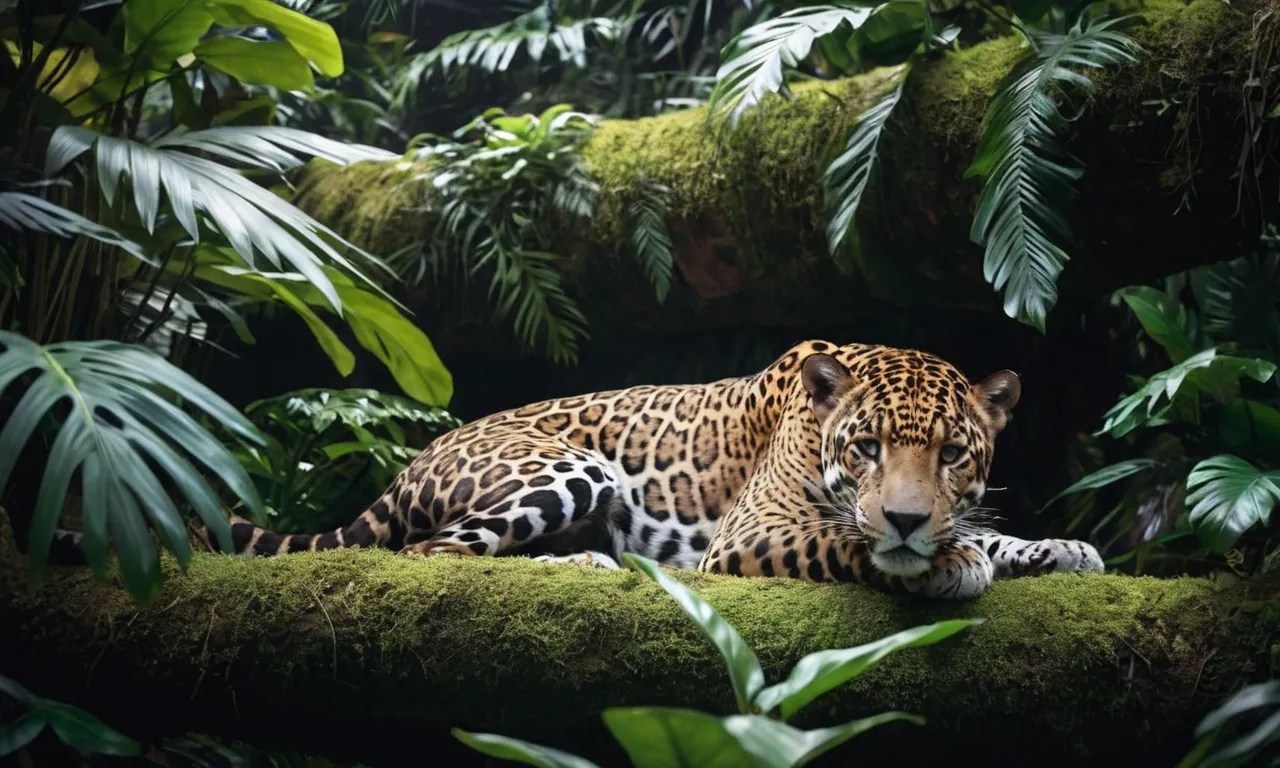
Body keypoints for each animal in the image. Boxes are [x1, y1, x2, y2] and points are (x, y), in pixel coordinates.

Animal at [215, 339, 1104, 599]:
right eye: (866, 449)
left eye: (952, 453)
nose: (910, 519)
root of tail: (414, 459)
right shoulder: (754, 534)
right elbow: (849, 541)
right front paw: (944, 563)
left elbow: (986, 534)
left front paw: (1057, 550)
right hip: (570, 468)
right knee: (431, 551)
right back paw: (584, 562)